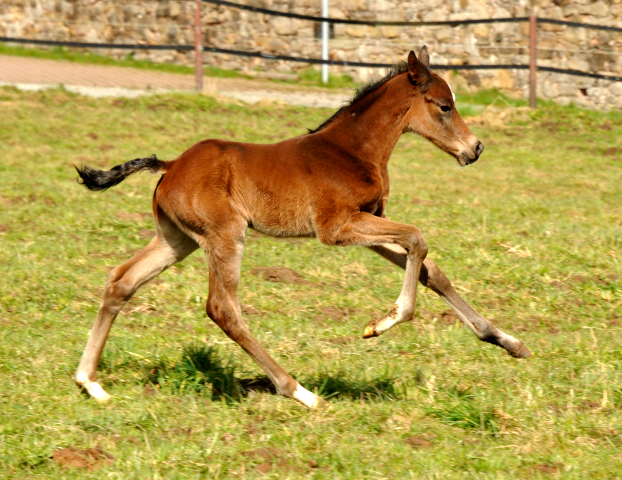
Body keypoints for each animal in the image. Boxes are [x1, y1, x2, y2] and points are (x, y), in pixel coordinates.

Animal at [73, 46, 532, 408]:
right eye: (444, 106)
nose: (475, 148)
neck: (352, 150)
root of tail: (171, 166)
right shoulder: (337, 227)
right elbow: (418, 239)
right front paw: (384, 322)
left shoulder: (369, 223)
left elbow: (431, 270)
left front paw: (506, 341)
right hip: (225, 235)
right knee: (223, 308)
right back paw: (300, 391)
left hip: (176, 239)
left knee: (121, 281)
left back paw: (89, 382)